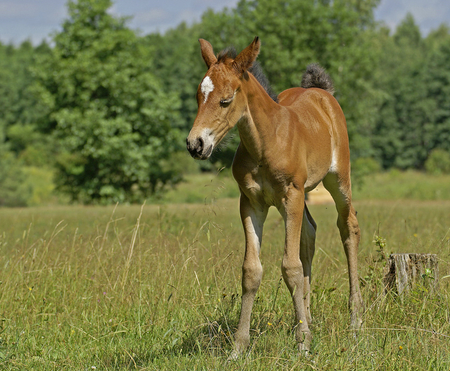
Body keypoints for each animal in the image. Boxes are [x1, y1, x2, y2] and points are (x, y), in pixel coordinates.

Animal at [186, 36, 366, 356]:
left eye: (225, 100)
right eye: (198, 96)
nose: (195, 144)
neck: (265, 142)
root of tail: (321, 92)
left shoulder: (290, 196)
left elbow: (290, 267)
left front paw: (303, 344)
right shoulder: (251, 203)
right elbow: (251, 271)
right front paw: (238, 347)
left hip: (338, 180)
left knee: (348, 228)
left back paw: (354, 321)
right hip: (301, 198)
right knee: (310, 232)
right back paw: (307, 317)